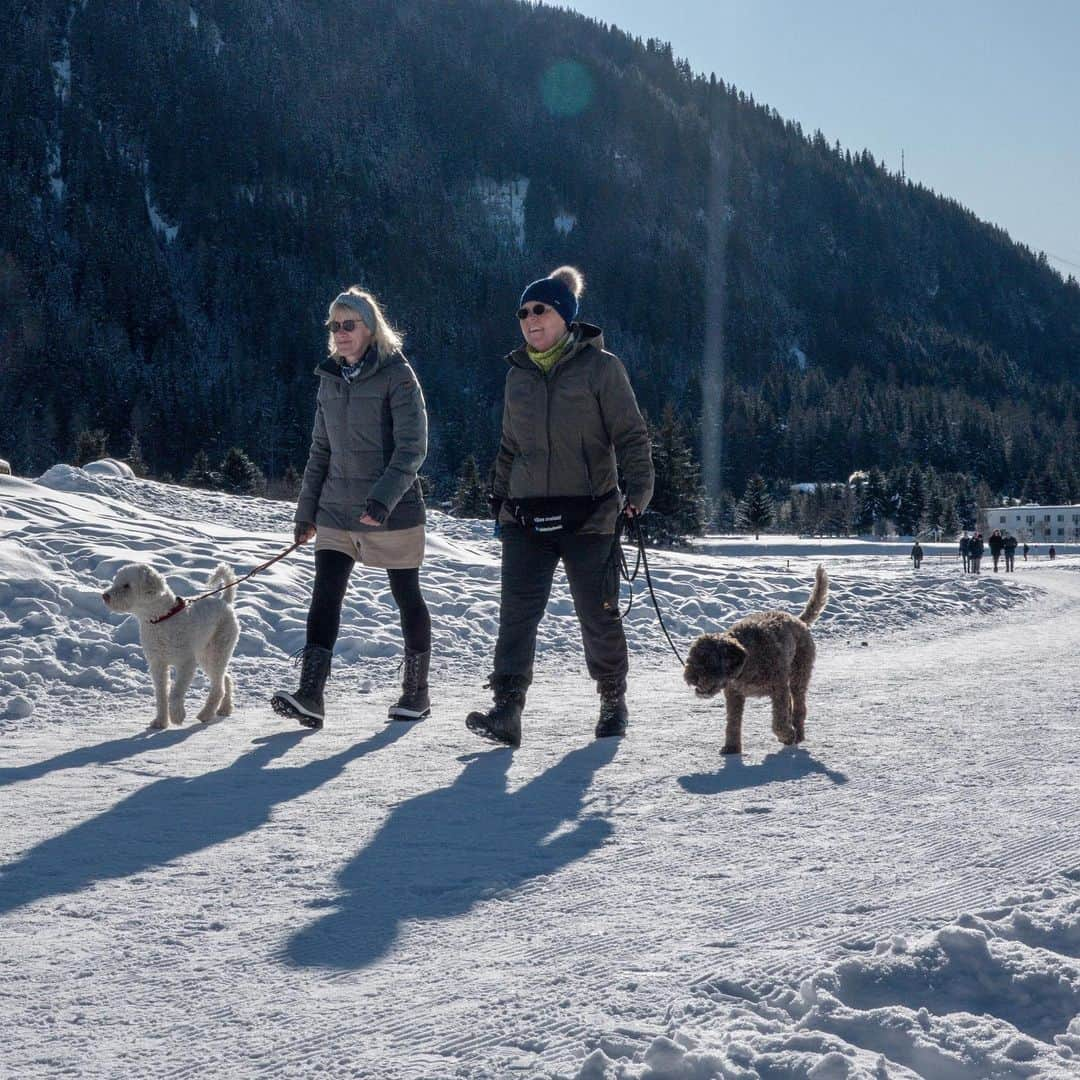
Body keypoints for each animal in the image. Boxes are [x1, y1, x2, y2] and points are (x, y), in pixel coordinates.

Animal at [102, 561, 238, 730]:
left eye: (127, 585)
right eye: (116, 581)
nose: (105, 596)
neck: (162, 618)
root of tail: (225, 602)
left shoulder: (186, 663)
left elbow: (176, 692)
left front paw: (177, 716)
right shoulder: (157, 664)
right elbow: (161, 695)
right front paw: (160, 721)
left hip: (218, 650)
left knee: (218, 687)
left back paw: (206, 714)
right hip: (205, 655)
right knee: (225, 678)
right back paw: (225, 708)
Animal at [682, 561, 825, 756]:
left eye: (709, 662)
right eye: (692, 659)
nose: (691, 677)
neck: (748, 661)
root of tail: (798, 620)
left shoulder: (778, 688)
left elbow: (779, 720)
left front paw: (786, 735)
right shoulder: (734, 694)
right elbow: (733, 723)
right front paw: (732, 747)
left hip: (799, 674)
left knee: (799, 705)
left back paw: (798, 733)